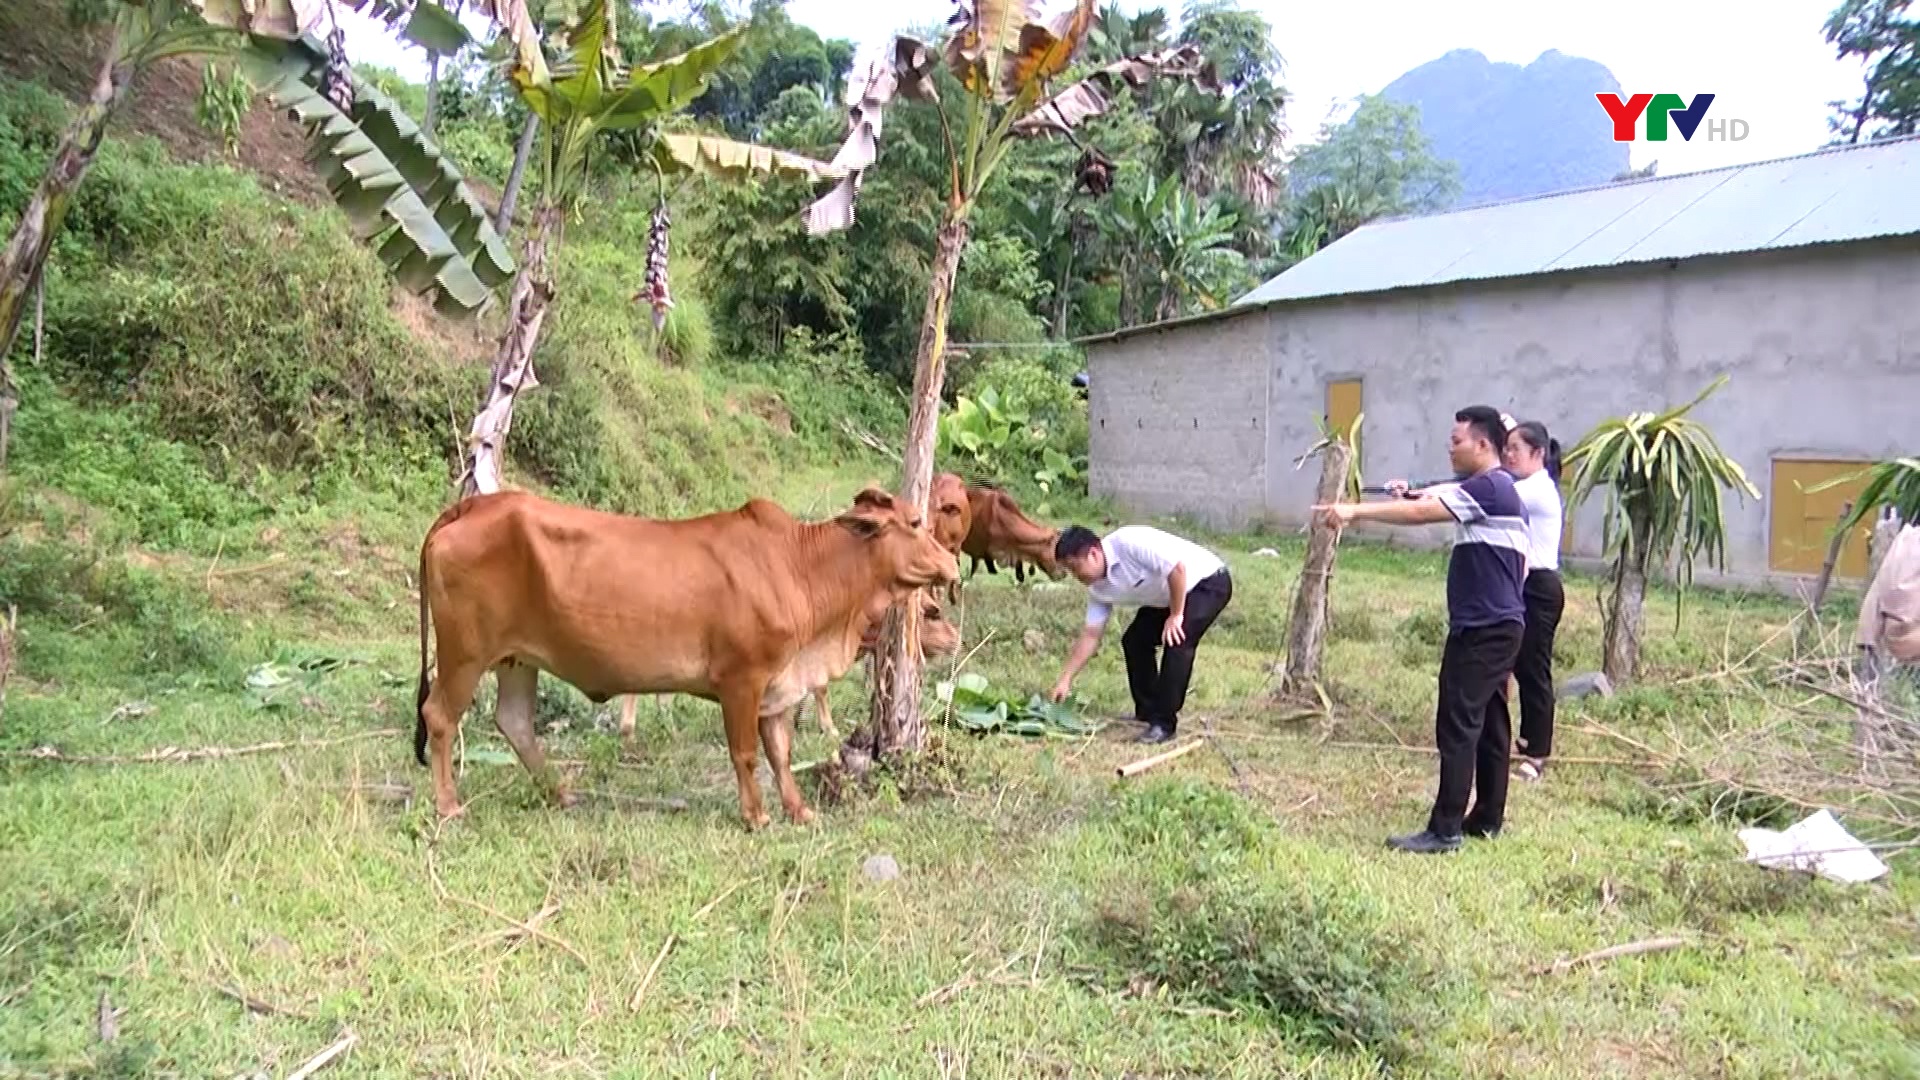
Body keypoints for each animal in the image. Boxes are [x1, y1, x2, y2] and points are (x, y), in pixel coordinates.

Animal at [410, 484, 952, 826]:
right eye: (915, 521)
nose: (950, 562)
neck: (801, 569)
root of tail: (474, 505)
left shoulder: (778, 686)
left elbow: (781, 753)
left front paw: (799, 811)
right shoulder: (742, 680)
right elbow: (746, 753)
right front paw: (756, 815)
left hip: (517, 660)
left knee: (515, 721)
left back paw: (560, 792)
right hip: (465, 652)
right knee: (439, 716)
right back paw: (448, 805)